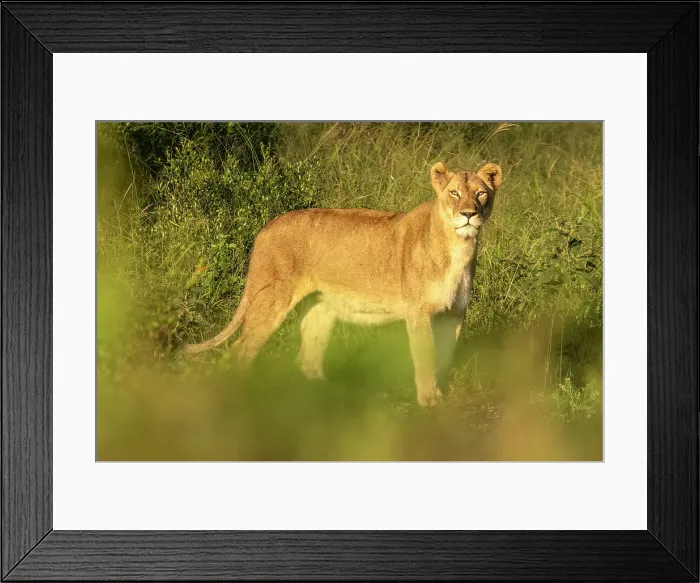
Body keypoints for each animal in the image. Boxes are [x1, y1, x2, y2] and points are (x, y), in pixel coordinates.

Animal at [183, 161, 502, 407]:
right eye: (454, 193)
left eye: (481, 194)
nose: (469, 214)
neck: (459, 246)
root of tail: (265, 227)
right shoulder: (418, 312)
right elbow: (425, 358)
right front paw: (429, 401)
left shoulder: (454, 314)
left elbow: (445, 358)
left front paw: (443, 395)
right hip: (272, 299)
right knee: (240, 351)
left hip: (320, 309)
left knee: (307, 359)